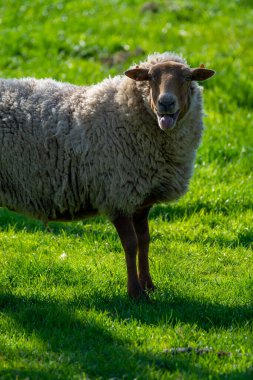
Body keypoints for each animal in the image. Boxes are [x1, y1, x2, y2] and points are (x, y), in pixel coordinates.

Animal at [0, 52, 214, 298]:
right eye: (150, 77)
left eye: (188, 78)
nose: (166, 103)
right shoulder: (117, 195)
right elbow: (131, 244)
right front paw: (135, 292)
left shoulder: (141, 200)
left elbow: (145, 241)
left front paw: (149, 286)